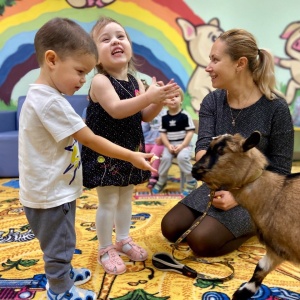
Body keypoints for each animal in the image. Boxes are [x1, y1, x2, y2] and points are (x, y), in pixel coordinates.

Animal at [192, 131, 300, 300]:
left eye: (221, 151)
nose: (194, 169)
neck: (275, 195)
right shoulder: (278, 247)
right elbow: (260, 268)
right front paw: (242, 292)